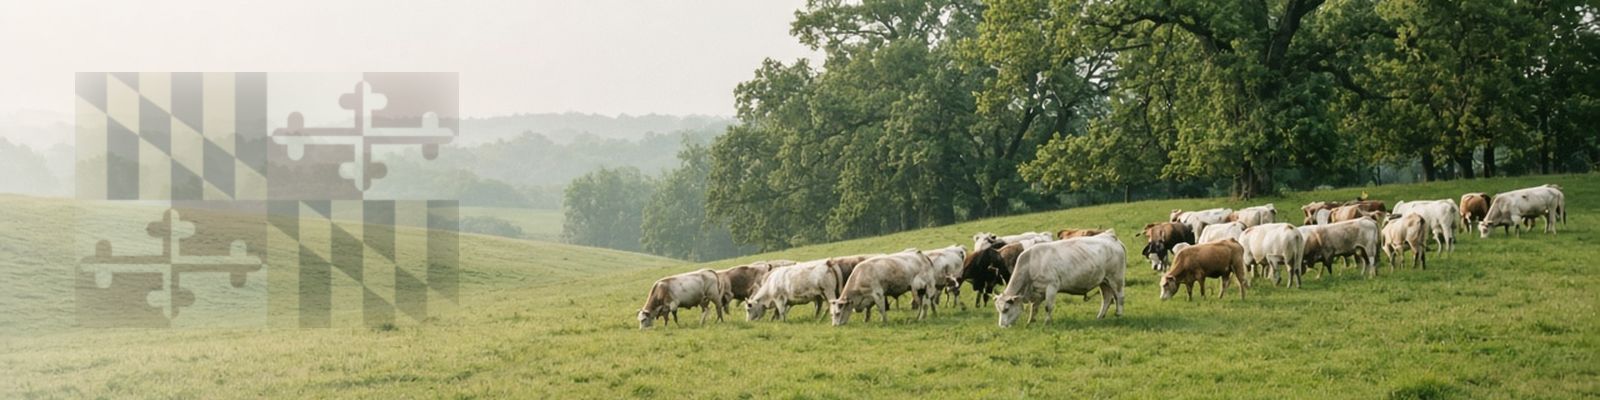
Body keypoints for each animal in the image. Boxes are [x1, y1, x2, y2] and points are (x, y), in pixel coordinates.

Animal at [994, 231, 1126, 327]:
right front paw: (1030, 321)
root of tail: (1110, 236)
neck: (1032, 263)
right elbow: (1034, 307)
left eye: (1006, 309)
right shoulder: (1039, 290)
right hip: (1104, 281)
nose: (1001, 326)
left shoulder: (1052, 286)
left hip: (1116, 278)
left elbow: (1048, 307)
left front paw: (1047, 322)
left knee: (1119, 296)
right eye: (998, 310)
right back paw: (1100, 316)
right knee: (1107, 298)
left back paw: (1119, 314)